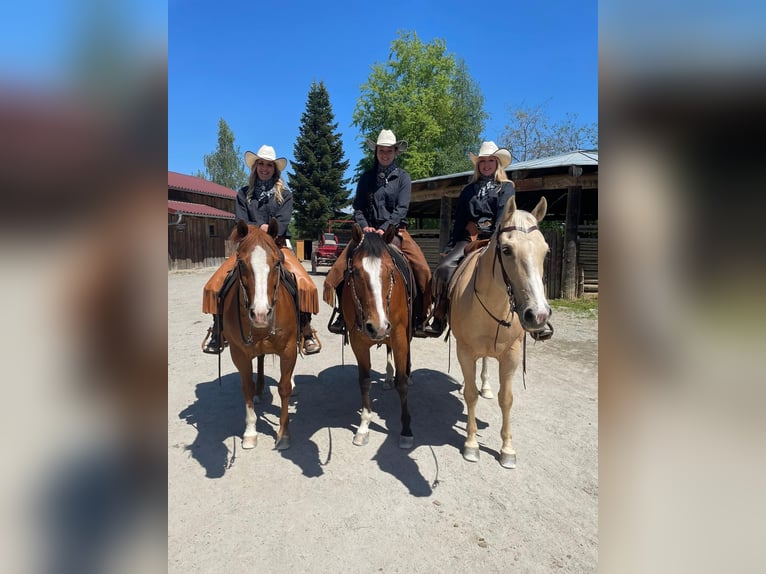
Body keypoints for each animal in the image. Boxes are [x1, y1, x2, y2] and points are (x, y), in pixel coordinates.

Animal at [220, 219, 299, 451]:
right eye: (241, 263)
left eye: (277, 263)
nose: (261, 314)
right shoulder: (238, 353)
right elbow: (246, 387)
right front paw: (250, 432)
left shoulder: (289, 349)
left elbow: (284, 387)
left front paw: (283, 434)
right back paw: (259, 390)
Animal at [340, 224, 414, 449]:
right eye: (355, 272)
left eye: (390, 271)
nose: (378, 327)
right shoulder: (358, 341)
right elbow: (364, 381)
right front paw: (364, 427)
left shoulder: (399, 337)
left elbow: (402, 382)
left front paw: (406, 430)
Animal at [448, 195, 551, 468]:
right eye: (506, 250)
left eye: (545, 251)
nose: (538, 315)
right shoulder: (465, 351)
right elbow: (470, 395)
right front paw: (471, 445)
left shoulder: (511, 355)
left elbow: (506, 398)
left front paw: (507, 450)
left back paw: (484, 386)